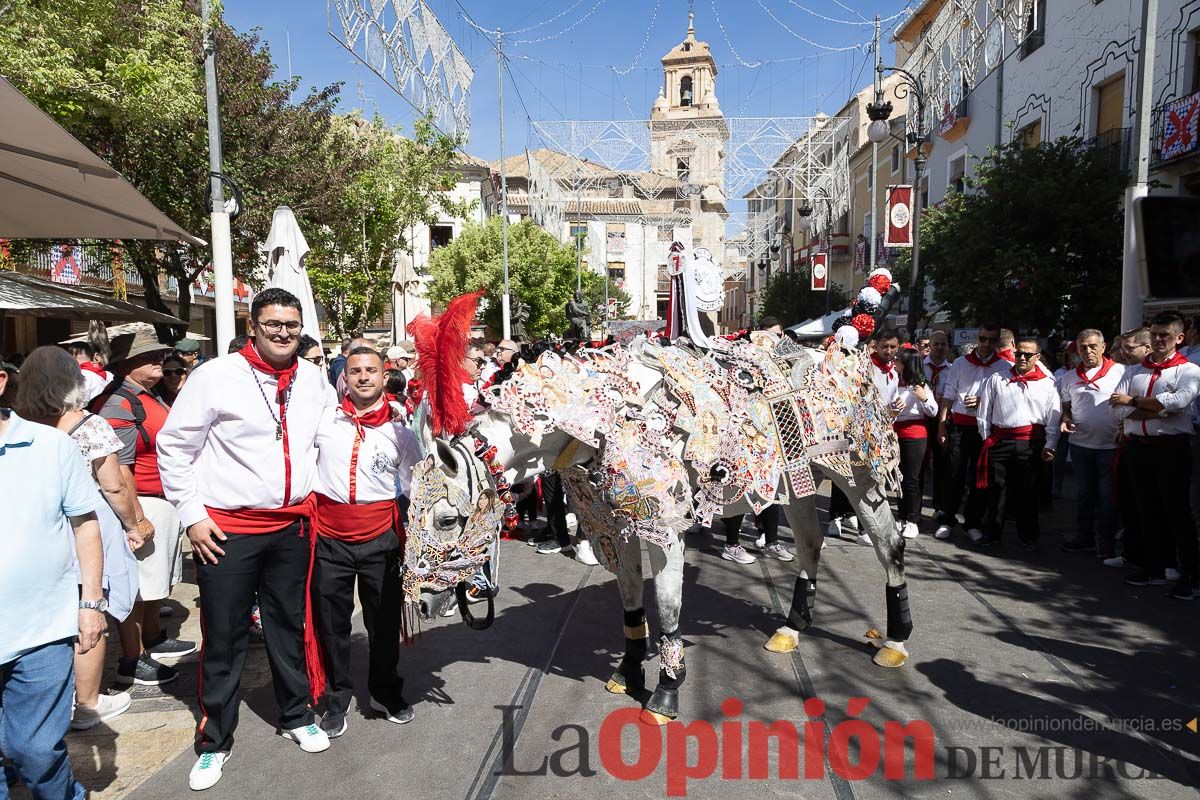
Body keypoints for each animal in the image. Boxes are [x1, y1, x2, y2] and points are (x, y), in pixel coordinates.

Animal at [398, 292, 912, 724]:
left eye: (446, 519)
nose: (420, 602)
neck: (594, 423)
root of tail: (844, 351)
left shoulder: (664, 528)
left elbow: (667, 608)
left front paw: (666, 691)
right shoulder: (614, 528)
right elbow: (631, 605)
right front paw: (627, 674)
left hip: (860, 475)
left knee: (887, 543)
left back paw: (894, 638)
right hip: (797, 483)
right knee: (809, 544)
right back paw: (792, 627)